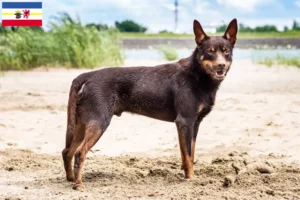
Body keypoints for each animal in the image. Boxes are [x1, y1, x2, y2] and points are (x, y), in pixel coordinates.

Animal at [62, 18, 238, 189]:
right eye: (210, 52)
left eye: (226, 51)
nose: (221, 65)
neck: (198, 75)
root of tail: (87, 76)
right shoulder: (185, 121)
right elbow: (188, 156)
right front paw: (190, 180)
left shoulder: (195, 123)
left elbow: (190, 154)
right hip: (99, 122)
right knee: (79, 152)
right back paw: (79, 184)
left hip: (81, 123)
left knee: (67, 151)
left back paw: (70, 179)